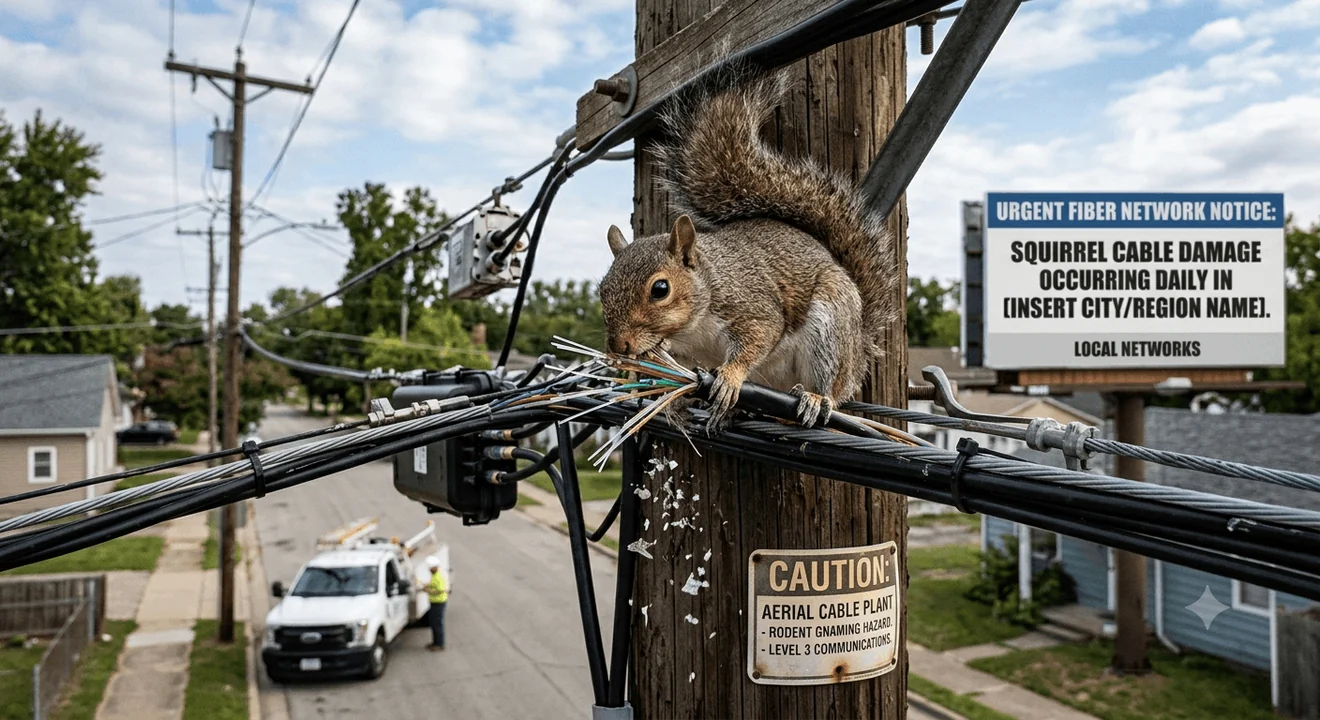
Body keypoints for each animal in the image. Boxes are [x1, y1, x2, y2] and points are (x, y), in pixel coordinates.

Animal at [598, 63, 898, 434]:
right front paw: (665, 397)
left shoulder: (750, 305)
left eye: (660, 289)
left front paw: (729, 376)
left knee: (831, 385)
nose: (618, 346)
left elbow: (759, 336)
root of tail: (859, 351)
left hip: (831, 327)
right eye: (602, 290)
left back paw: (814, 399)